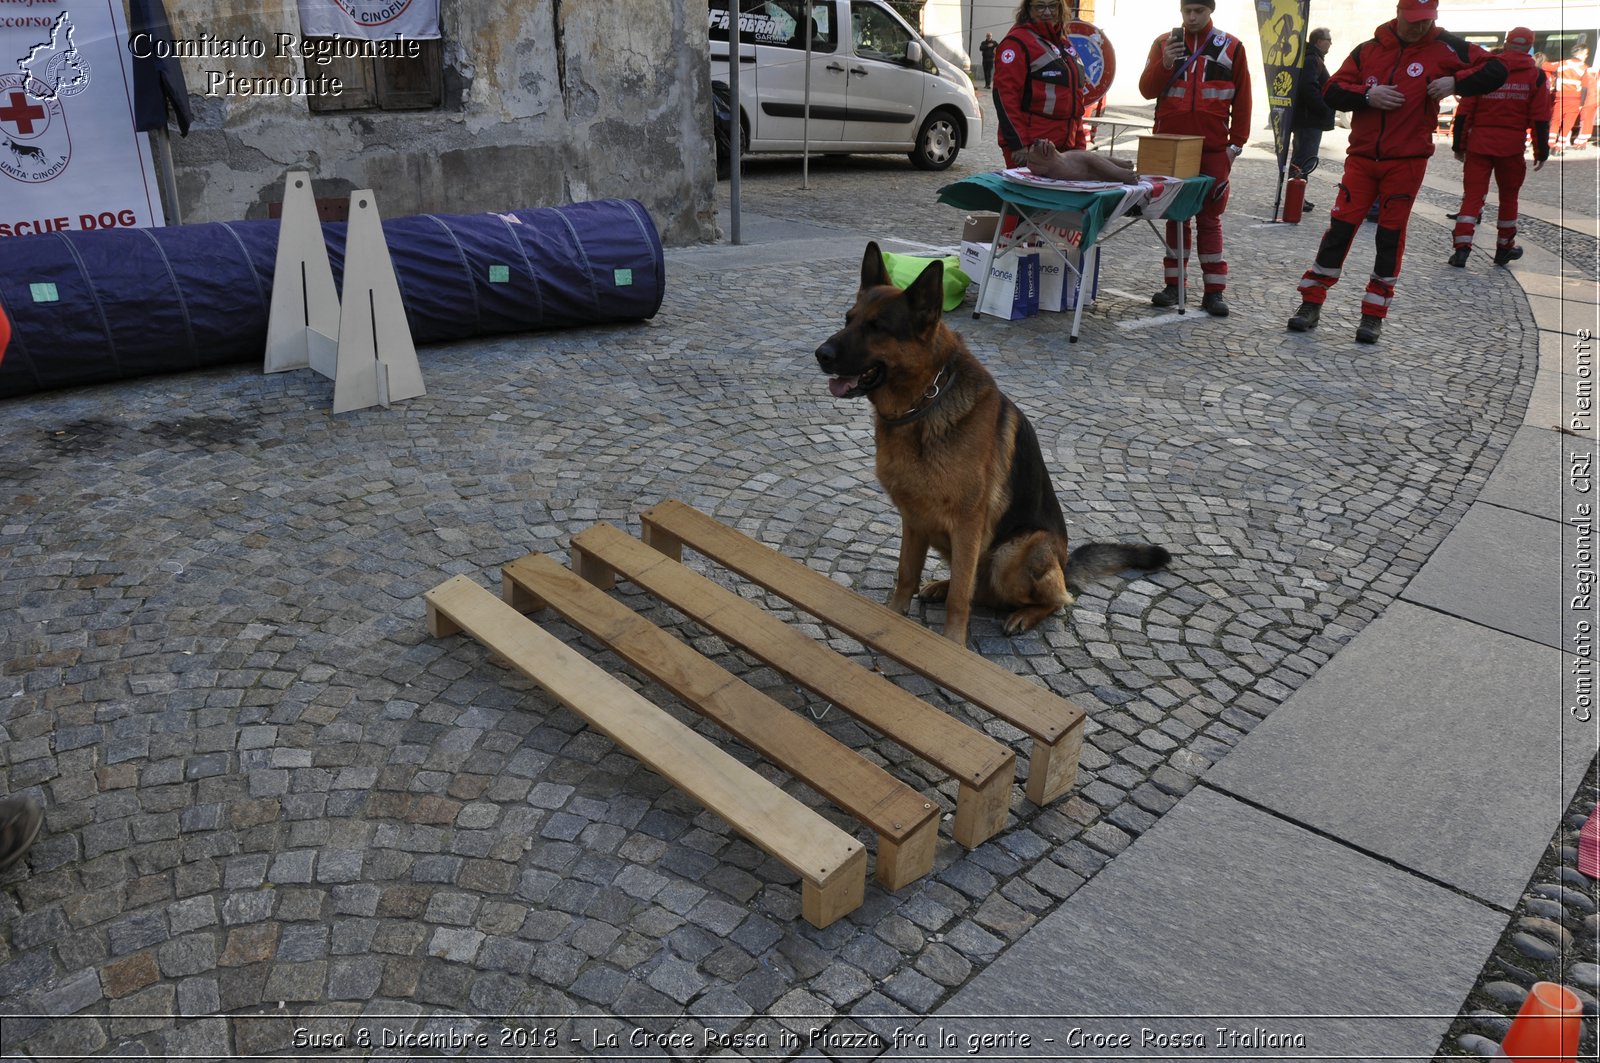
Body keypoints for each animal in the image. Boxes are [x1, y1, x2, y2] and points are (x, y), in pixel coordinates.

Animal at [819, 241, 1171, 643]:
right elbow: (907, 576)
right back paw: (940, 586)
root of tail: (1065, 562)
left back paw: (1024, 614)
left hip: (1013, 553)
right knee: (978, 588)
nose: (821, 354)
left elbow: (960, 597)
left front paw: (952, 643)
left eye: (877, 327)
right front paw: (892, 619)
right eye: (849, 319)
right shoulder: (914, 519)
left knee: (1054, 598)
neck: (925, 402)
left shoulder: (967, 524)